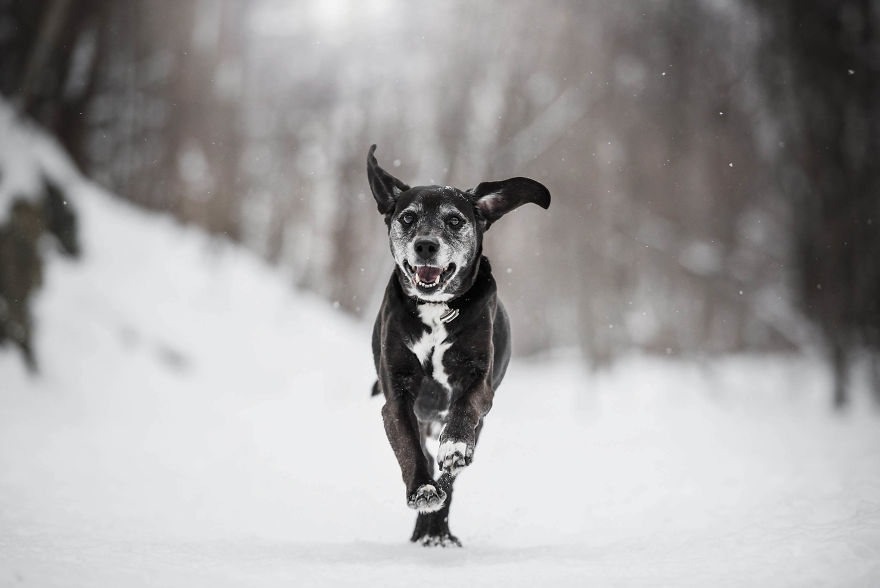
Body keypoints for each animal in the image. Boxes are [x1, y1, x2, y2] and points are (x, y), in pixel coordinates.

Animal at [366, 146, 552, 548]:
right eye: (407, 217)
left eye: (454, 220)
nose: (425, 245)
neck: (436, 311)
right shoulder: (397, 396)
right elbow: (409, 448)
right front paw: (422, 490)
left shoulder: (478, 380)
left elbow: (464, 411)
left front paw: (452, 446)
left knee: (451, 477)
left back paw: (437, 530)